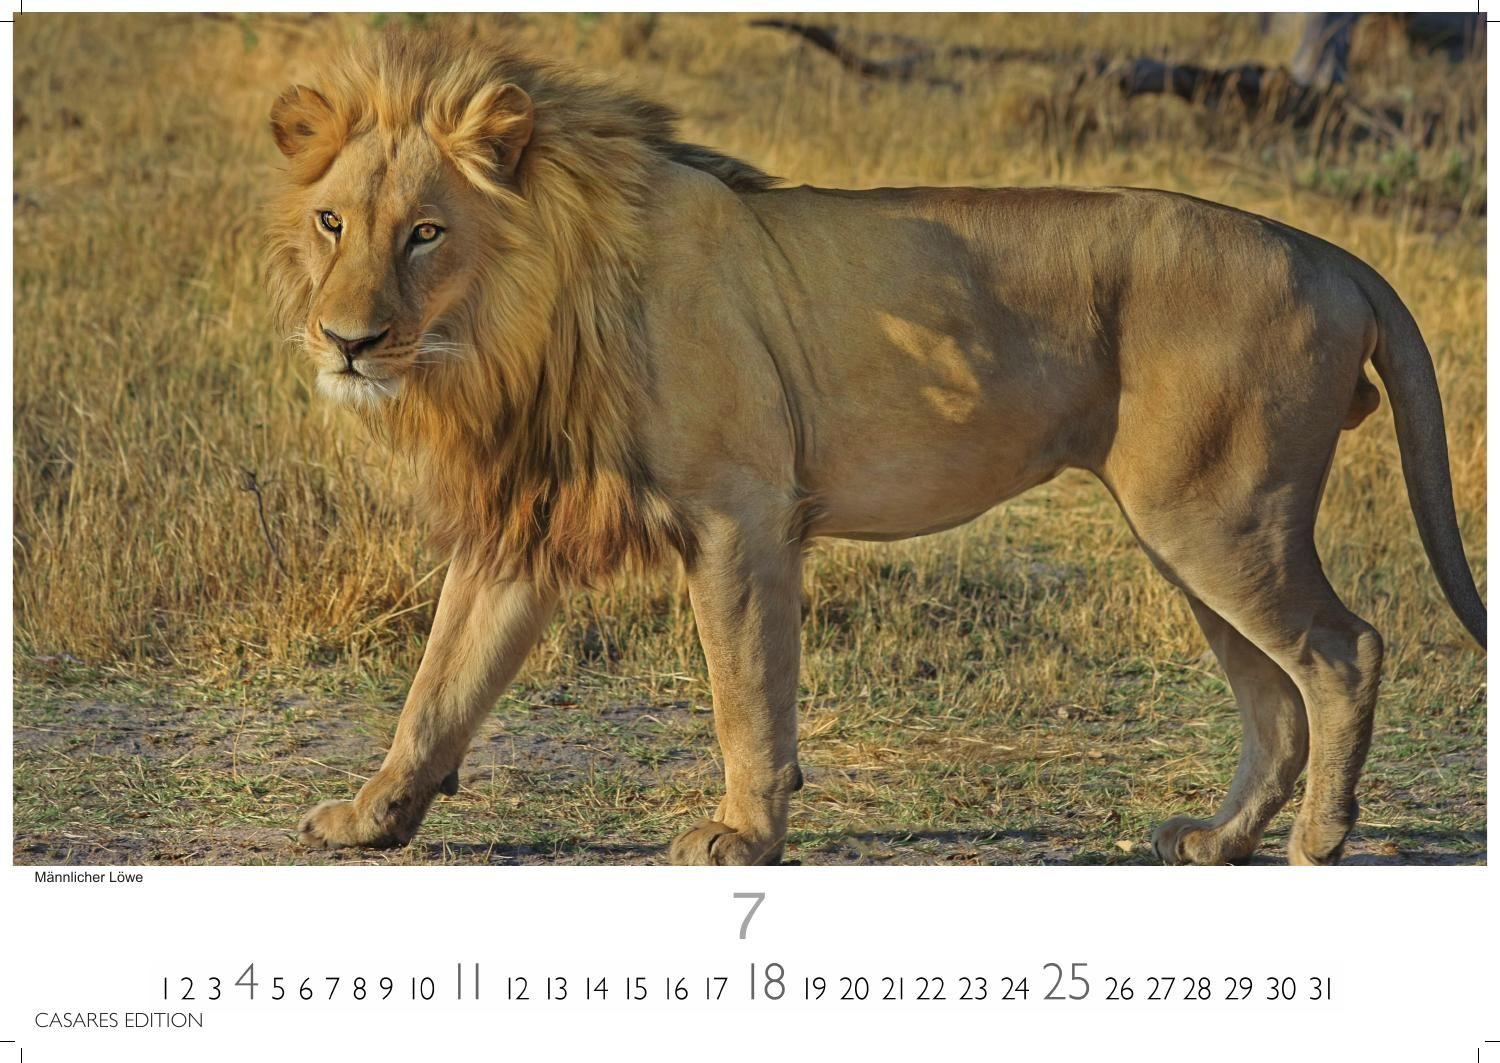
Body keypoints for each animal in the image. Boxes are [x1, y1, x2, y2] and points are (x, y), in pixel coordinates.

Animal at [267, 32, 1484, 866]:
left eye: (426, 232)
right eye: (335, 223)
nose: (346, 339)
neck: (515, 328)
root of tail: (1329, 251)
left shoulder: (740, 513)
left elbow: (746, 691)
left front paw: (743, 833)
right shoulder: (524, 525)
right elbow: (438, 687)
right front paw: (371, 817)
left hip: (1218, 516)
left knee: (1345, 651)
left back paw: (1320, 841)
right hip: (1190, 530)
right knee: (1273, 696)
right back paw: (1221, 839)